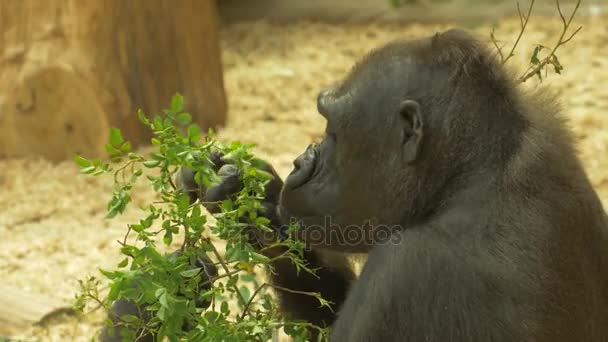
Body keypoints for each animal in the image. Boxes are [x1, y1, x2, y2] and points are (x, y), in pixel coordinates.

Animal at [101, 29, 608, 342]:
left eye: (332, 128)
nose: (302, 162)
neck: (463, 181)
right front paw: (255, 200)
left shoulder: (403, 273)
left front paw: (143, 302)